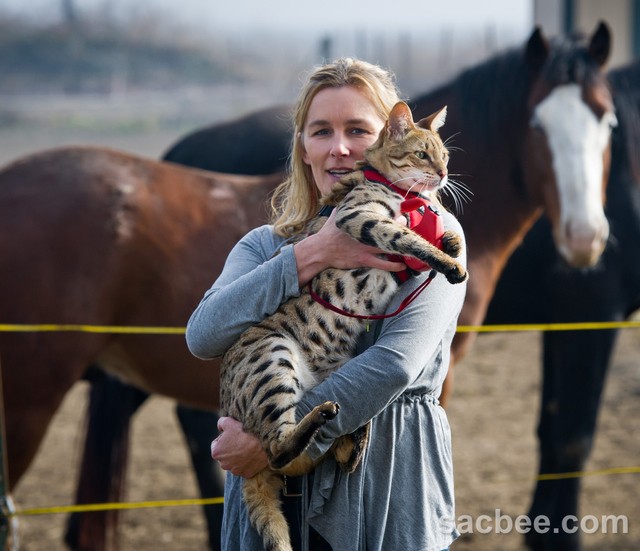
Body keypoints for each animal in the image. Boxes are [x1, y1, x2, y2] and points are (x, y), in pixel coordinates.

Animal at [2, 22, 616, 551]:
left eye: (605, 122)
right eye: (425, 153)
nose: (586, 239)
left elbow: (428, 237)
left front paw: (446, 237)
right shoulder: (362, 224)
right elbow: (406, 239)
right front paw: (445, 256)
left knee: (286, 461)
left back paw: (346, 439)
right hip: (236, 364)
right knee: (277, 448)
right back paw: (325, 425)